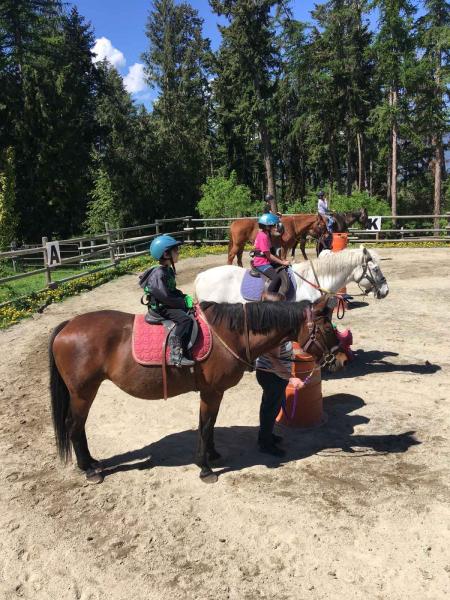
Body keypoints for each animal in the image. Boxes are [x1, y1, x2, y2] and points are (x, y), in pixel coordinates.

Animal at [49, 298, 346, 486]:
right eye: (328, 327)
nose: (341, 358)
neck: (231, 334)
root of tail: (68, 325)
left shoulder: (214, 393)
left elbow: (211, 425)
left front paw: (211, 455)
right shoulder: (211, 392)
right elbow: (204, 426)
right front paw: (205, 468)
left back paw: (92, 463)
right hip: (83, 393)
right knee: (74, 425)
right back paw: (88, 469)